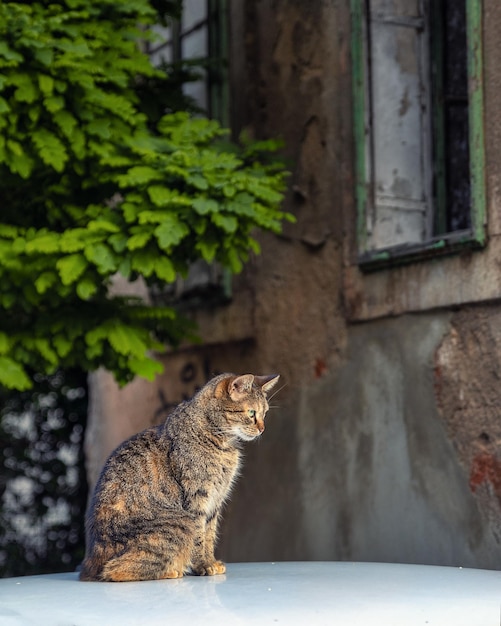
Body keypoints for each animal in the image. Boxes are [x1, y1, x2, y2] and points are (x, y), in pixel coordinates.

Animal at [80, 370, 280, 580]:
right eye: (251, 413)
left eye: (265, 413)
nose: (262, 428)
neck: (222, 442)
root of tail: (89, 564)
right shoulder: (198, 499)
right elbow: (200, 538)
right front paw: (203, 565)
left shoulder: (215, 502)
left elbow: (209, 535)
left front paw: (210, 561)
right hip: (180, 522)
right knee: (116, 570)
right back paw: (171, 571)